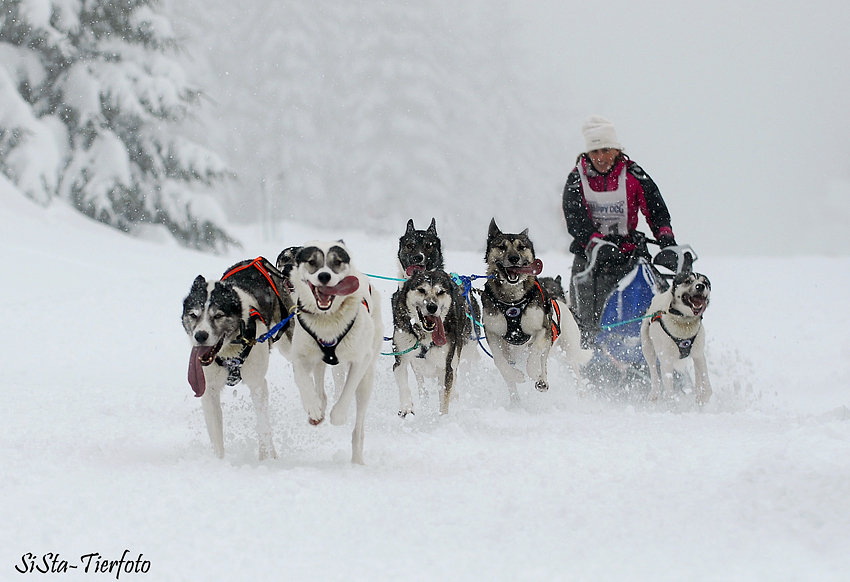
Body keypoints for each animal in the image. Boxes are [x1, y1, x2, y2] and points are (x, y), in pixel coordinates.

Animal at [181, 258, 292, 464]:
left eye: (218, 315)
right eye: (193, 314)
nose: (200, 336)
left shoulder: (257, 384)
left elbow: (263, 425)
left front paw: (267, 459)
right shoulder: (209, 390)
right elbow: (216, 434)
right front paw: (219, 462)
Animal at [288, 241, 380, 466]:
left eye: (336, 262)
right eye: (312, 262)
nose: (324, 276)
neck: (327, 321)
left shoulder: (360, 360)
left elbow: (347, 391)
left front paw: (337, 416)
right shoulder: (300, 355)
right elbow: (303, 380)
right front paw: (313, 406)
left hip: (367, 379)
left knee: (359, 426)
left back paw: (357, 460)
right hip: (319, 360)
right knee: (320, 385)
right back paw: (319, 407)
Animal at [390, 272, 476, 418]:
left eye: (440, 292)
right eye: (421, 290)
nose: (432, 307)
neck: (426, 335)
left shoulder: (446, 367)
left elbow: (444, 398)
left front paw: (443, 420)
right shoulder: (400, 358)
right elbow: (403, 384)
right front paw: (407, 408)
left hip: (455, 355)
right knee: (421, 383)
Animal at [476, 221, 588, 404]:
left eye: (521, 247)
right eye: (501, 246)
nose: (514, 258)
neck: (512, 302)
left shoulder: (543, 330)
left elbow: (535, 350)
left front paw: (533, 370)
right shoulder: (493, 333)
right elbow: (500, 362)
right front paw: (515, 376)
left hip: (568, 350)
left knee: (567, 368)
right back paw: (516, 401)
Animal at [644, 270, 708, 404]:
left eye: (705, 282)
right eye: (688, 281)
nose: (700, 286)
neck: (684, 321)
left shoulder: (699, 354)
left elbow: (707, 386)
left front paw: (702, 398)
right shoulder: (666, 362)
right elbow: (669, 394)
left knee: (698, 377)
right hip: (648, 348)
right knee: (654, 372)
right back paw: (654, 394)